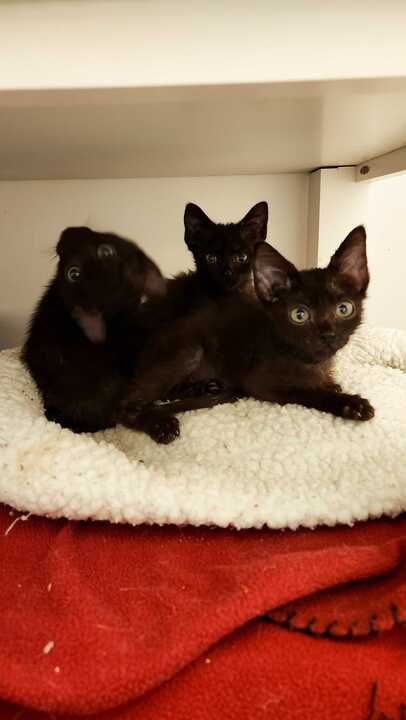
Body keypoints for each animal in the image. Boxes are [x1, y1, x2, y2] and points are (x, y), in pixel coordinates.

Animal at [120, 225, 374, 442]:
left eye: (344, 309)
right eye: (299, 315)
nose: (328, 335)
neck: (310, 361)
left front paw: (332, 385)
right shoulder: (260, 382)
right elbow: (306, 392)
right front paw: (351, 403)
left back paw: (205, 387)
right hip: (190, 350)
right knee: (125, 406)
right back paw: (160, 423)